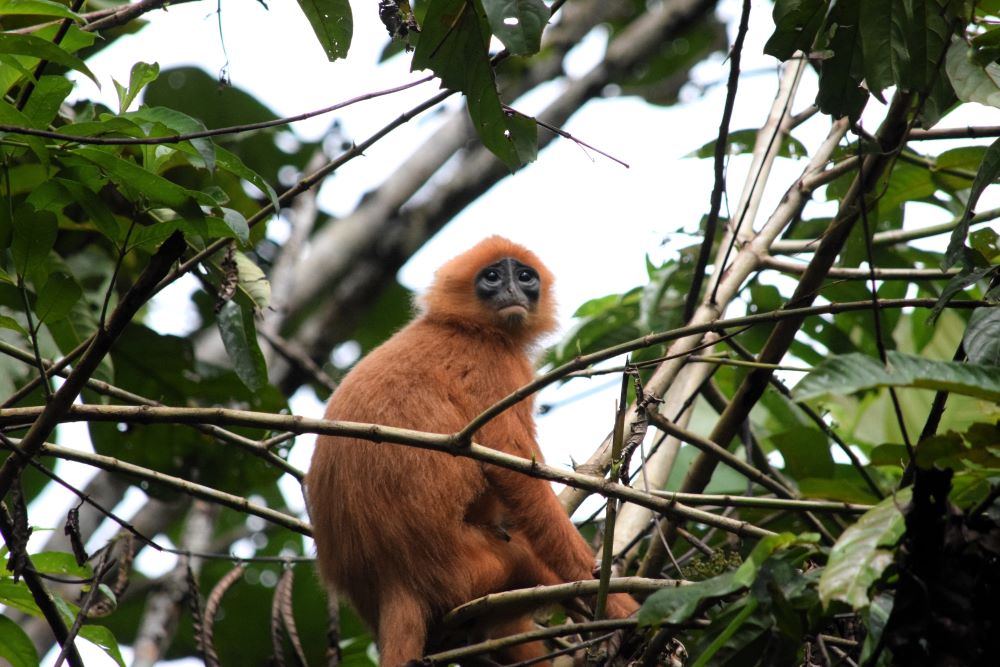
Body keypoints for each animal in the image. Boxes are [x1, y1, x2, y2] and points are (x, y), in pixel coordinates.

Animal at [305, 236, 639, 666]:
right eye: (492, 277)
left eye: (525, 277)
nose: (513, 290)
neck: (464, 327)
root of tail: (393, 578)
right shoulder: (494, 367)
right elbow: (513, 470)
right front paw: (612, 601)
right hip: (475, 570)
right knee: (525, 562)